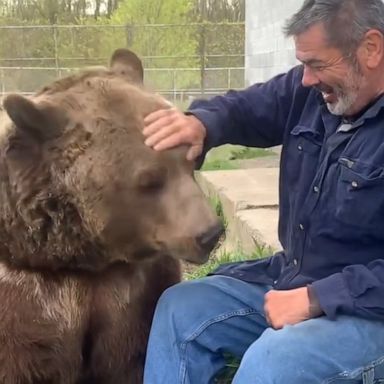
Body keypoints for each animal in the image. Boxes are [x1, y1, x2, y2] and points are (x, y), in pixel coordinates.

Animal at [0, 49, 222, 382]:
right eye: (149, 180)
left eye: (192, 161)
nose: (210, 233)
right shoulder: (27, 297)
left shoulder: (130, 293)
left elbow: (130, 357)